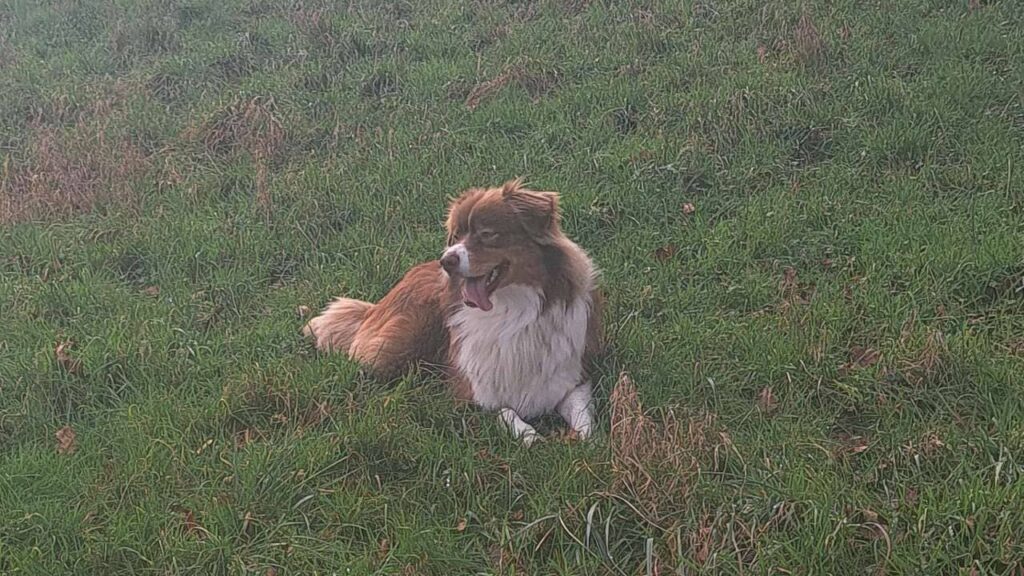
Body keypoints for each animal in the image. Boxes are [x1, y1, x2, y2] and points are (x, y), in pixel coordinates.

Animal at [299, 179, 598, 444]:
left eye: (486, 234)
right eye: (456, 235)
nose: (446, 261)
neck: (511, 312)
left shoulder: (573, 377)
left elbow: (583, 417)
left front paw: (586, 441)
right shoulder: (471, 390)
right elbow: (506, 412)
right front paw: (529, 436)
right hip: (393, 347)